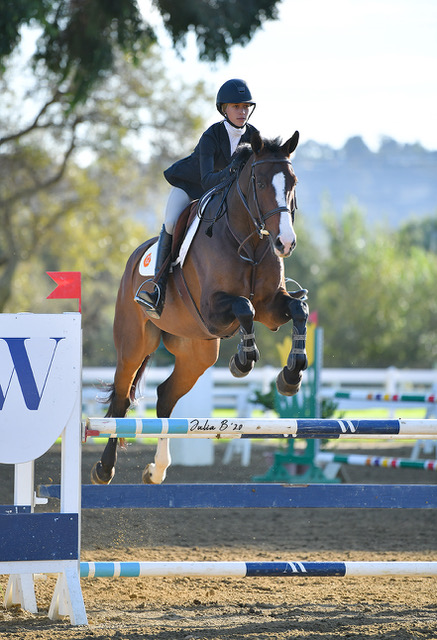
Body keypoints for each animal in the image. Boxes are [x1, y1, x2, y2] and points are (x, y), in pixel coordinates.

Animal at [91, 132, 310, 488]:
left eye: (293, 182)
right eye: (260, 182)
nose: (285, 243)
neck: (249, 240)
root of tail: (133, 259)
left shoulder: (271, 307)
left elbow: (298, 308)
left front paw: (290, 376)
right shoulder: (213, 309)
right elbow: (244, 307)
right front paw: (243, 362)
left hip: (197, 351)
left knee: (165, 396)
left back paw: (157, 470)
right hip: (133, 344)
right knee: (122, 398)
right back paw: (104, 469)